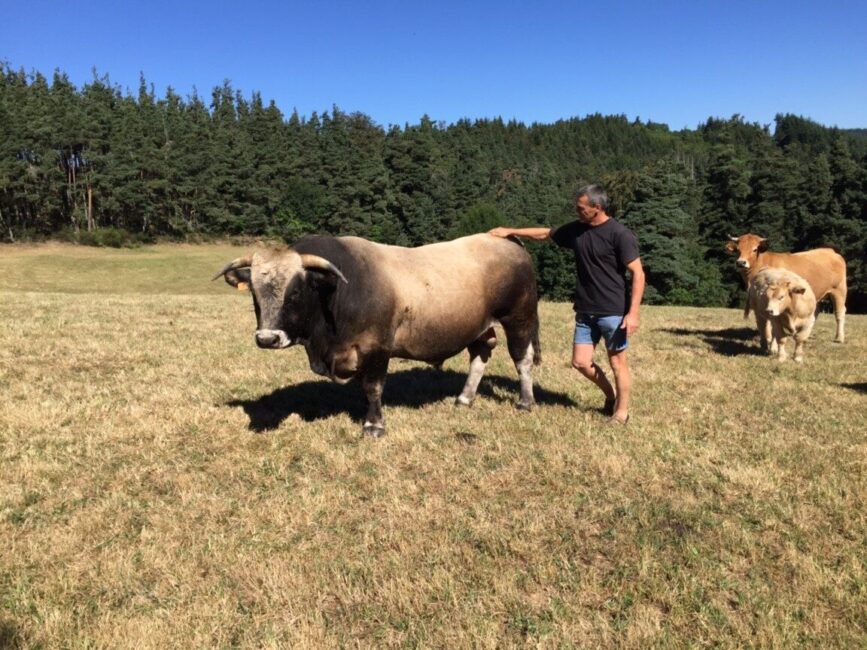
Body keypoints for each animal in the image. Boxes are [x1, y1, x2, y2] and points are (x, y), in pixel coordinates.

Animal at [215, 233, 544, 436]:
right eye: (255, 294)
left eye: (295, 292)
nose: (267, 339)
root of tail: (506, 241)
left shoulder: (376, 348)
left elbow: (373, 387)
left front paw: (374, 425)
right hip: (479, 326)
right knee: (479, 355)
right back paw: (464, 398)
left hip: (519, 318)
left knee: (522, 359)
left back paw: (525, 402)